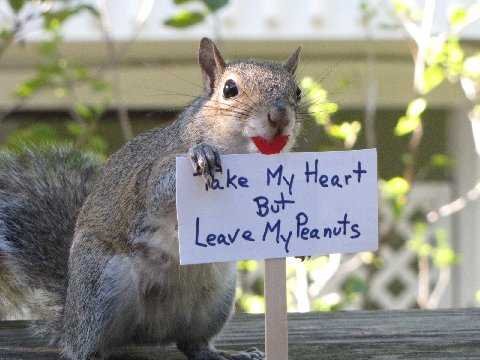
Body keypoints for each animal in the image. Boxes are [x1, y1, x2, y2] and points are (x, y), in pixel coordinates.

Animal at [0, 38, 302, 358]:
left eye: (297, 91)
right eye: (229, 89)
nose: (279, 116)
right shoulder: (148, 176)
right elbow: (156, 184)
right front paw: (201, 154)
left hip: (215, 299)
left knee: (193, 343)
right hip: (98, 289)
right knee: (81, 346)